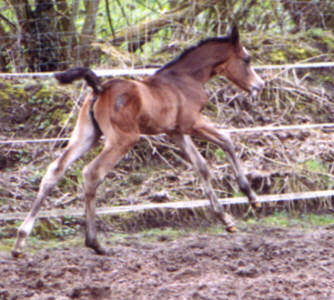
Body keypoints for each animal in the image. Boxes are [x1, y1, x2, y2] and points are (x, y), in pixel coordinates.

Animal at [12, 26, 264, 255]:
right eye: (247, 59)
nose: (259, 86)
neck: (184, 80)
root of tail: (100, 88)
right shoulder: (192, 124)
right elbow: (227, 141)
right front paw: (251, 197)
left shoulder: (176, 132)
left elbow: (201, 166)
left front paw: (226, 220)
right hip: (122, 140)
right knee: (92, 173)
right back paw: (95, 243)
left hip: (86, 136)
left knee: (55, 170)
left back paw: (20, 241)